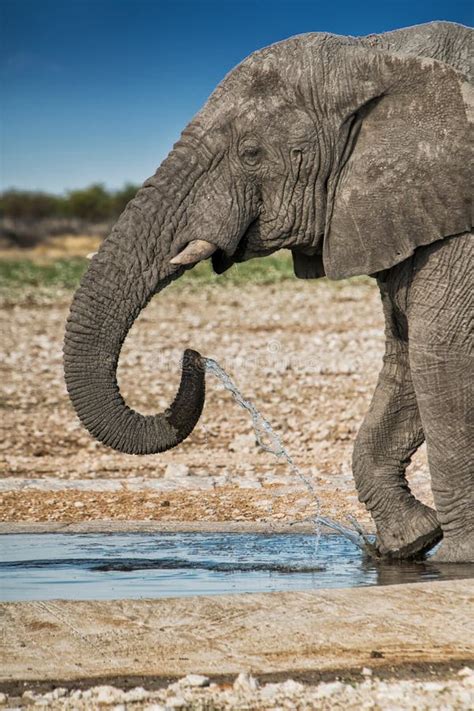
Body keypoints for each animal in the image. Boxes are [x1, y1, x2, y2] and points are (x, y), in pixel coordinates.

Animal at [64, 22, 474, 564]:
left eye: (251, 153)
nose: (194, 355)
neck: (381, 53)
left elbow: (444, 358)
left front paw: (455, 563)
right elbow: (407, 357)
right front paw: (407, 542)